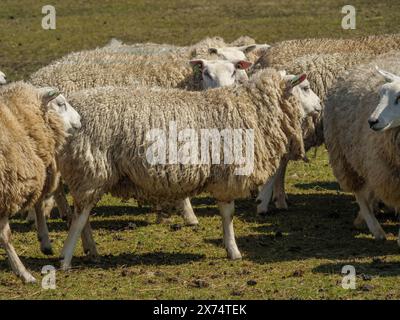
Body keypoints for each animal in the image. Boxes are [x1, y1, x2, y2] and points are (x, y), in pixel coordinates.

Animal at [0, 82, 81, 282]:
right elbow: (6, 235)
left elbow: (38, 203)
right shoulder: (7, 190)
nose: (80, 120)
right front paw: (23, 272)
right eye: (61, 103)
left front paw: (44, 240)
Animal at [55, 68, 306, 270]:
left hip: (85, 173)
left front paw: (230, 247)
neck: (252, 108)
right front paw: (233, 250)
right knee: (80, 216)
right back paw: (65, 259)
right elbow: (228, 214)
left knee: (83, 213)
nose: (315, 110)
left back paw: (91, 251)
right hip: (92, 169)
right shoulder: (226, 174)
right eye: (305, 87)